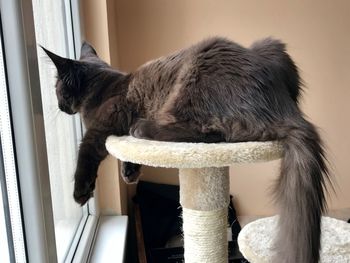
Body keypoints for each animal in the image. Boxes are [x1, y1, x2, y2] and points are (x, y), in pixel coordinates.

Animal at [41, 37, 330, 263]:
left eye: (57, 89)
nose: (59, 106)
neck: (104, 86)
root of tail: (285, 108)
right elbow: (125, 156)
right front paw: (129, 173)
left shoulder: (106, 123)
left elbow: (86, 150)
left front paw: (80, 192)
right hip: (271, 49)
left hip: (192, 80)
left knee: (211, 133)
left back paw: (142, 128)